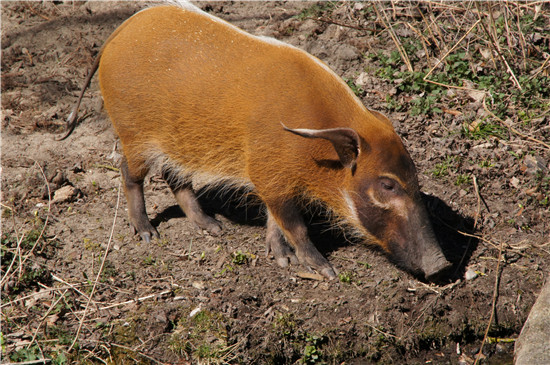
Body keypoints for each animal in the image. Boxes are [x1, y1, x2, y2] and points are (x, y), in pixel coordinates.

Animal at [61, 2, 452, 278]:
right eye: (387, 185)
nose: (442, 266)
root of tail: (118, 33)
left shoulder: (274, 182)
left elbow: (276, 221)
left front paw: (280, 259)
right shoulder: (269, 176)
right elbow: (294, 224)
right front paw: (323, 270)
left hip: (178, 145)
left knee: (175, 179)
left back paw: (214, 228)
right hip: (135, 136)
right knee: (130, 174)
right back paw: (146, 234)